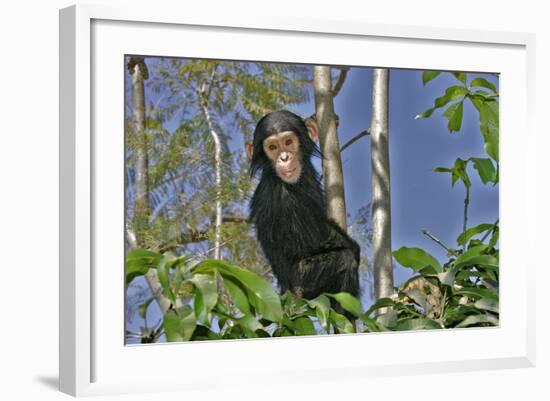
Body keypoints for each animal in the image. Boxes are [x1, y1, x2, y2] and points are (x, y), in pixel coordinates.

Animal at [247, 111, 362, 304]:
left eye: (288, 142)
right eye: (272, 147)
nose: (284, 157)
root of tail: (286, 292)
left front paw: (318, 120)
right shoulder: (284, 198)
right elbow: (317, 240)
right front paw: (352, 245)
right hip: (303, 283)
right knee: (345, 260)